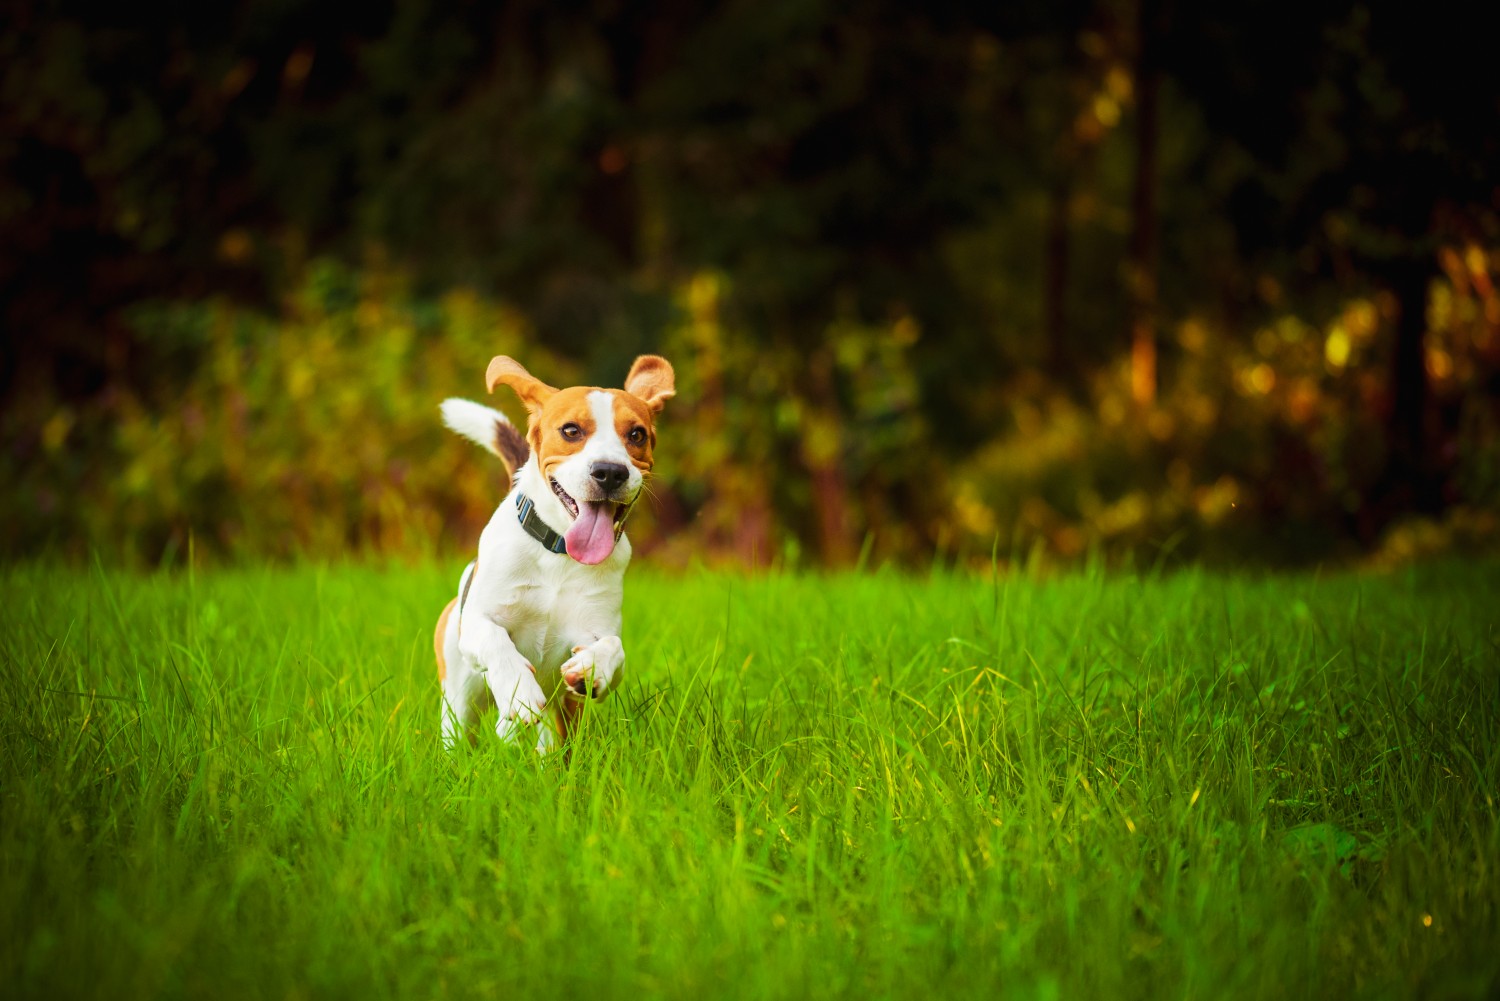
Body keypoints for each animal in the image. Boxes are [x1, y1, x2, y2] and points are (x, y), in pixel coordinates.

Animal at [432, 352, 672, 750]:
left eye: (637, 434)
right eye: (571, 431)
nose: (610, 472)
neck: (559, 553)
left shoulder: (595, 630)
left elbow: (613, 647)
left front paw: (591, 669)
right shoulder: (478, 625)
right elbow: (495, 638)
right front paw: (519, 691)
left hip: (558, 718)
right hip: (459, 695)